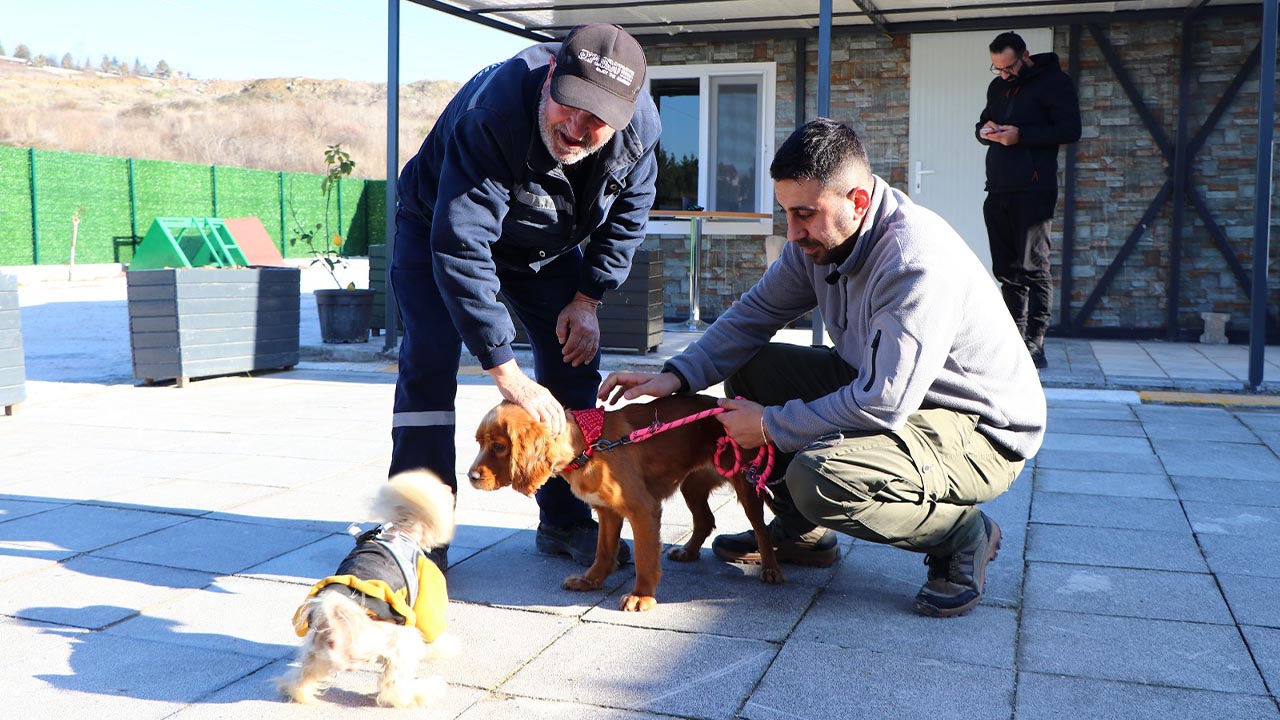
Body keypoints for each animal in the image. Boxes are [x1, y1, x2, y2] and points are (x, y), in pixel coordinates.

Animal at [277, 468, 458, 702]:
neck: (401, 531)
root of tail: (336, 618)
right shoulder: (426, 592)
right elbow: (432, 628)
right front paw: (446, 647)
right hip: (398, 639)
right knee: (394, 687)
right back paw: (425, 690)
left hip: (316, 649)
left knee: (303, 677)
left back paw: (297, 690)